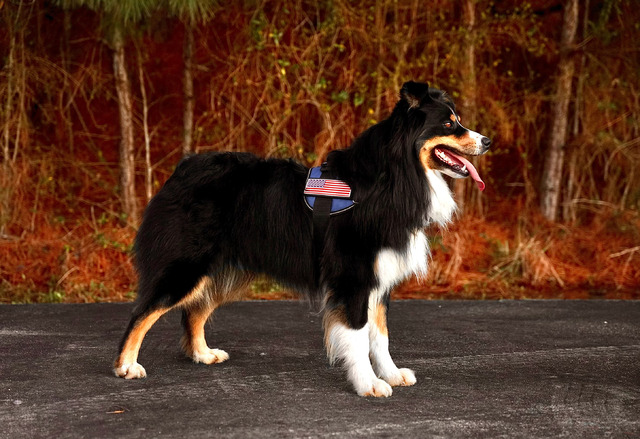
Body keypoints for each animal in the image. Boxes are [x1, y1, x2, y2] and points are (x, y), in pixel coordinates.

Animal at [113, 81, 491, 397]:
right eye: (449, 125)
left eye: (458, 121)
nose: (488, 141)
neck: (394, 179)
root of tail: (182, 170)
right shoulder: (353, 278)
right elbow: (358, 336)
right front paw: (368, 384)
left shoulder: (378, 281)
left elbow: (380, 336)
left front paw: (391, 374)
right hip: (187, 266)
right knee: (142, 312)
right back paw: (126, 366)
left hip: (220, 271)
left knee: (193, 312)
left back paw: (203, 354)